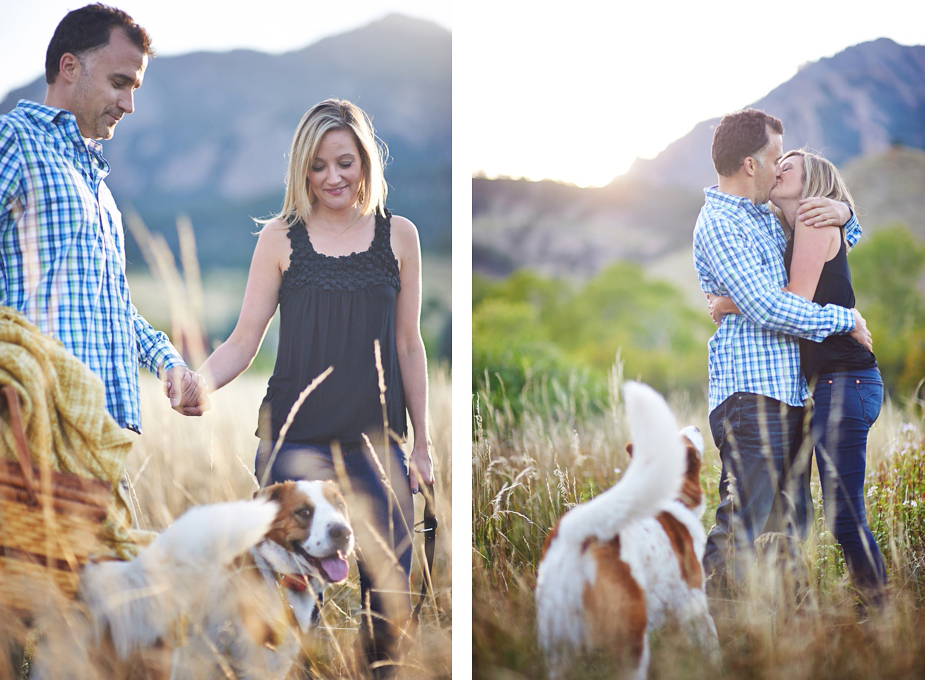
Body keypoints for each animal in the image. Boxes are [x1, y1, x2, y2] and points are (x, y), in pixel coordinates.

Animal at [536, 382, 720, 680]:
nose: (696, 426)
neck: (673, 498)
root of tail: (577, 532)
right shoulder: (693, 603)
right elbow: (712, 646)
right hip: (629, 641)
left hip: (558, 646)